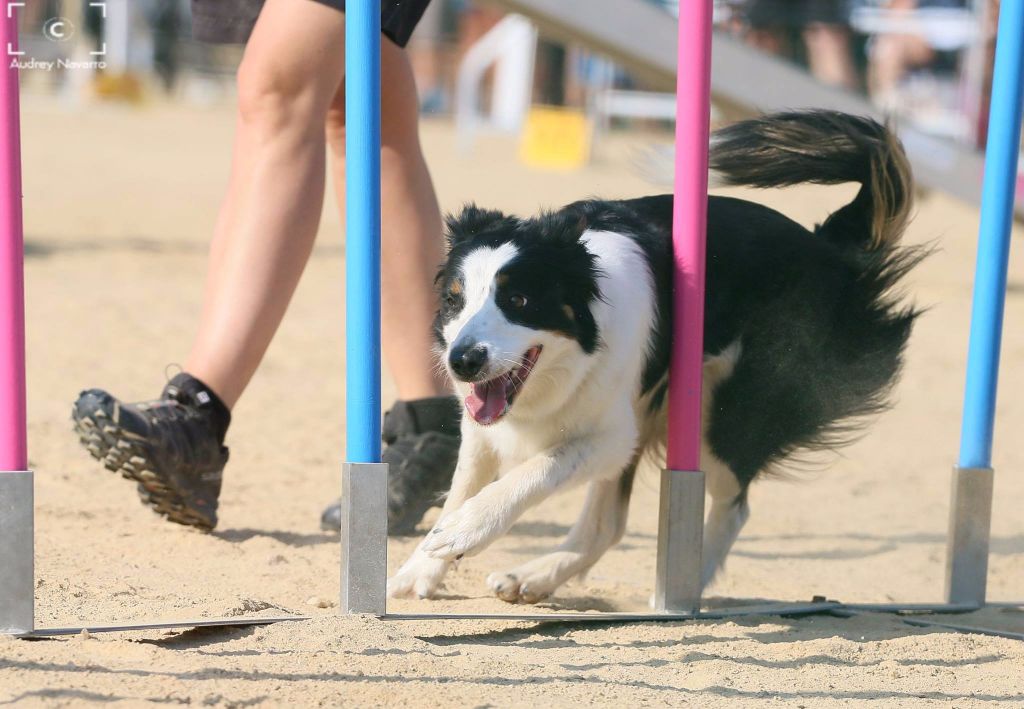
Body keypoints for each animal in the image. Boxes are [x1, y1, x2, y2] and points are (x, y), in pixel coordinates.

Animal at [387, 110, 925, 602]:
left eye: (518, 300)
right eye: (454, 300)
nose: (462, 361)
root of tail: (832, 249)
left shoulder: (610, 435)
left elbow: (531, 473)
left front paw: (464, 530)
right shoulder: (486, 426)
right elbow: (464, 485)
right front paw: (420, 568)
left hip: (728, 411)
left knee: (734, 504)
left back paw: (684, 593)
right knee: (608, 523)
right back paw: (534, 576)